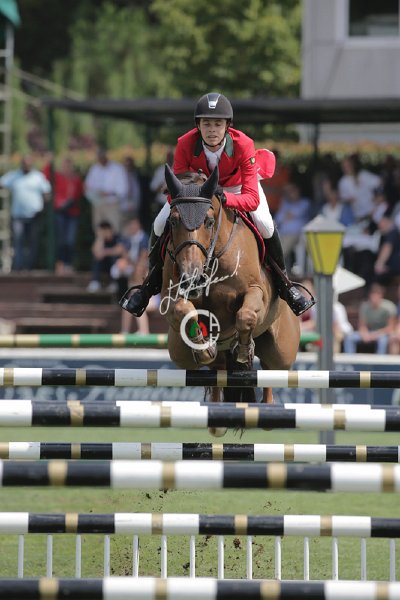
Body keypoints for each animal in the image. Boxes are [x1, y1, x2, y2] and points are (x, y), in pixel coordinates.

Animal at [160, 165, 300, 431]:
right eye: (172, 221)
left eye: (209, 221)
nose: (191, 276)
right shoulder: (170, 297)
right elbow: (183, 310)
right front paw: (204, 347)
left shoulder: (257, 293)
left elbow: (246, 314)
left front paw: (244, 349)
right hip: (180, 353)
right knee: (217, 371)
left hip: (281, 350)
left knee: (271, 371)